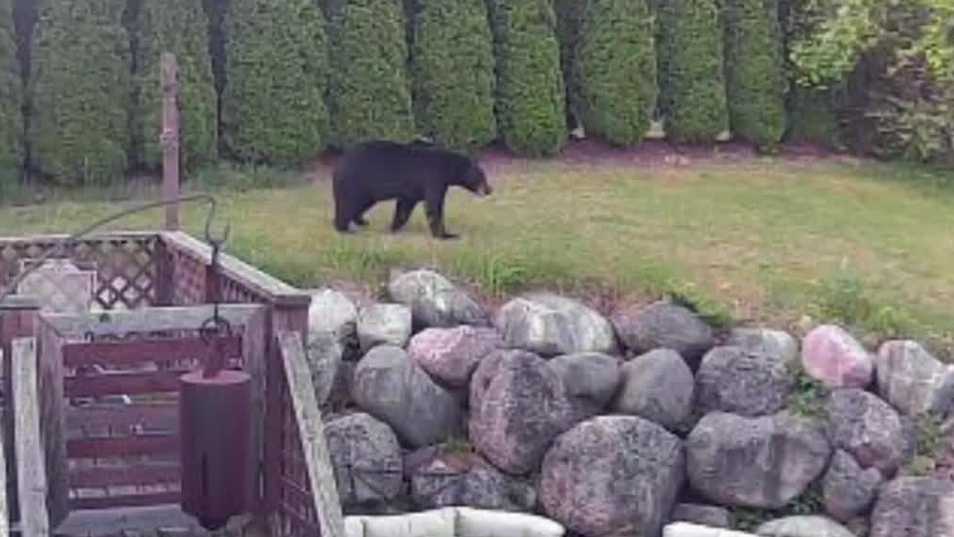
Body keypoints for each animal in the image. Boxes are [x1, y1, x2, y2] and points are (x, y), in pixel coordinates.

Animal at [331, 140, 493, 240]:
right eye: (482, 176)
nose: (489, 189)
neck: (448, 167)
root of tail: (339, 163)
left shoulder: (412, 189)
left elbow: (405, 205)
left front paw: (394, 227)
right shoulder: (434, 177)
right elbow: (434, 205)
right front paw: (446, 235)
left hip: (365, 190)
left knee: (361, 204)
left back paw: (361, 221)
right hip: (356, 182)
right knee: (348, 203)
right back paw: (343, 228)